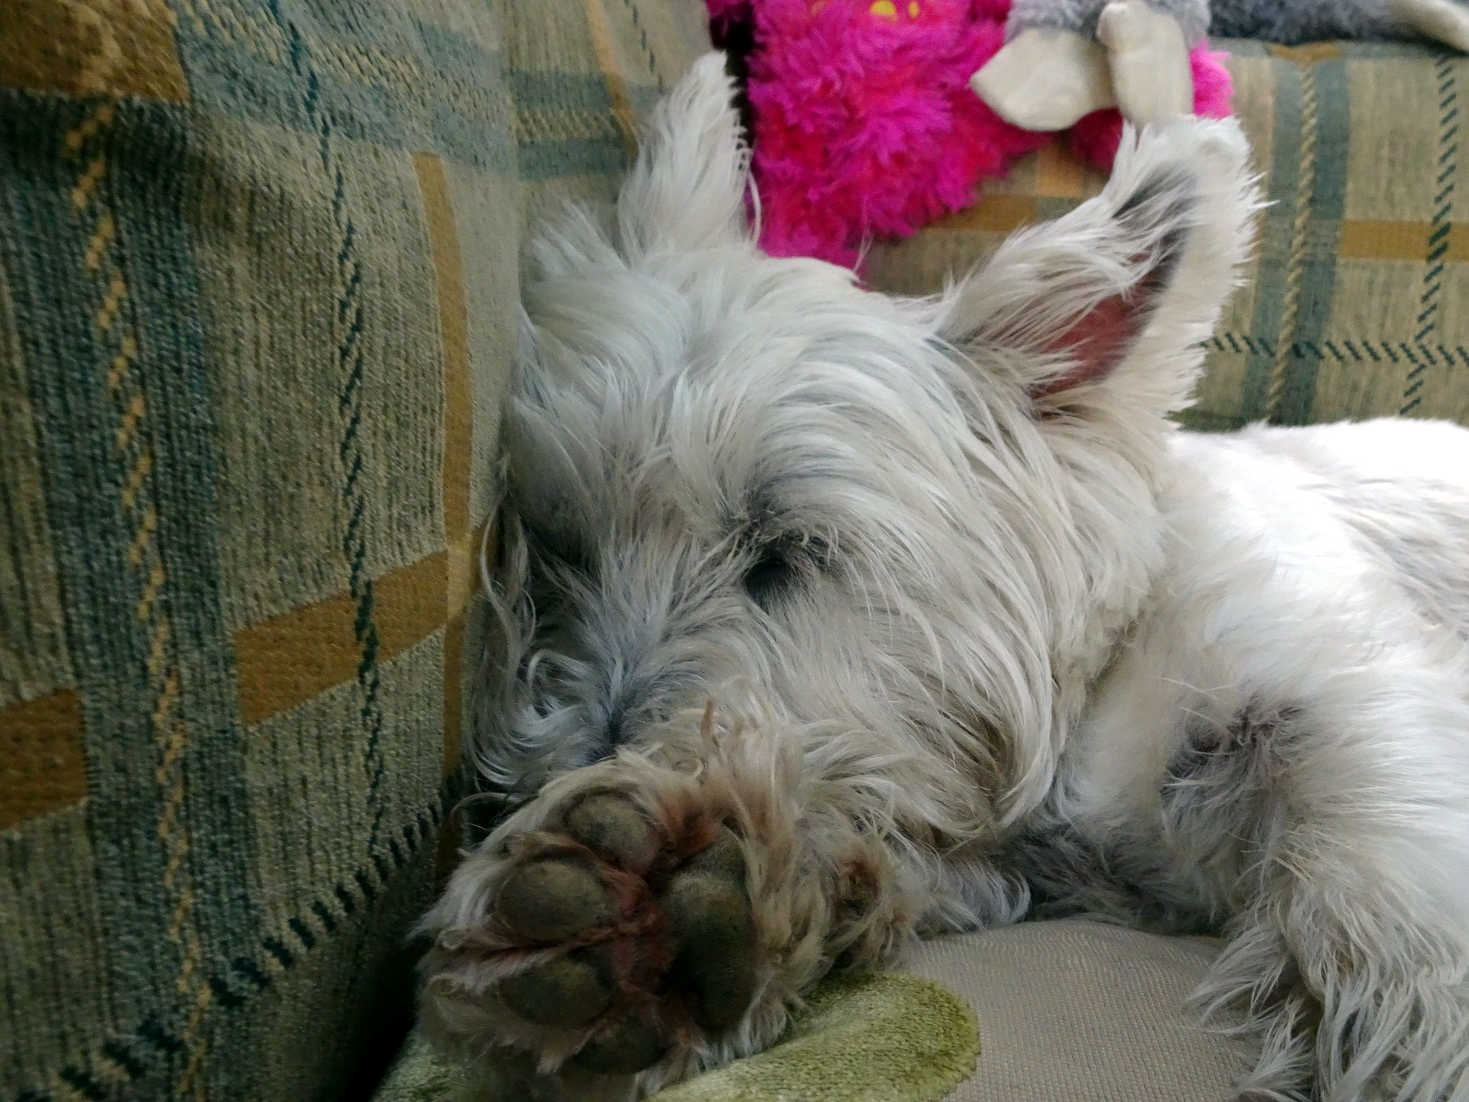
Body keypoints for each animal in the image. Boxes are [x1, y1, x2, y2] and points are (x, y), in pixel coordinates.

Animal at [414, 53, 1469, 1102]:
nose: (571, 760)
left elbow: (1395, 876)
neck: (1088, 702)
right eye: (563, 550)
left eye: (782, 553)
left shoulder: (1347, 683)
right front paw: (671, 906)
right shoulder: (1027, 864)